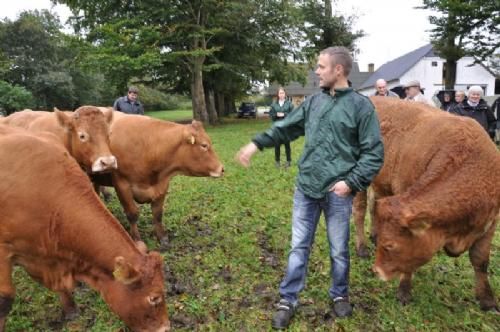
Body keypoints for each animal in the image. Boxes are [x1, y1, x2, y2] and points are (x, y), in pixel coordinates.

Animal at [93, 114, 225, 244]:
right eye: (204, 145)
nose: (222, 169)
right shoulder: (122, 185)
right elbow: (132, 213)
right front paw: (136, 239)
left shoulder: (162, 185)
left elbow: (157, 214)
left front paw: (162, 237)